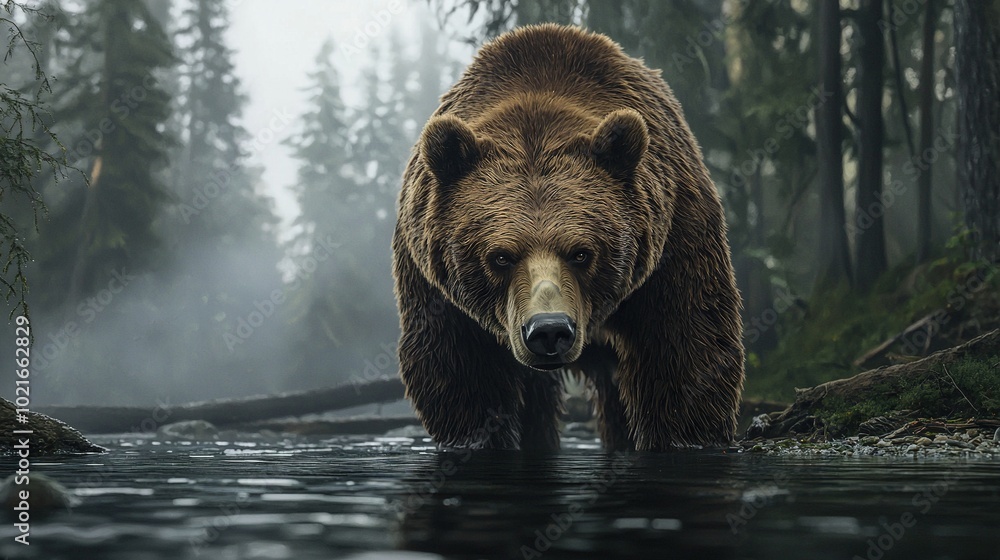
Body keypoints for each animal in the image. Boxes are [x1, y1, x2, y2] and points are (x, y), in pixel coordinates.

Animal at [392, 24, 744, 451]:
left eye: (581, 253)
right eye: (501, 256)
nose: (549, 330)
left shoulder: (673, 237)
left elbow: (686, 347)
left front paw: (685, 437)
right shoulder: (439, 287)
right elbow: (464, 376)